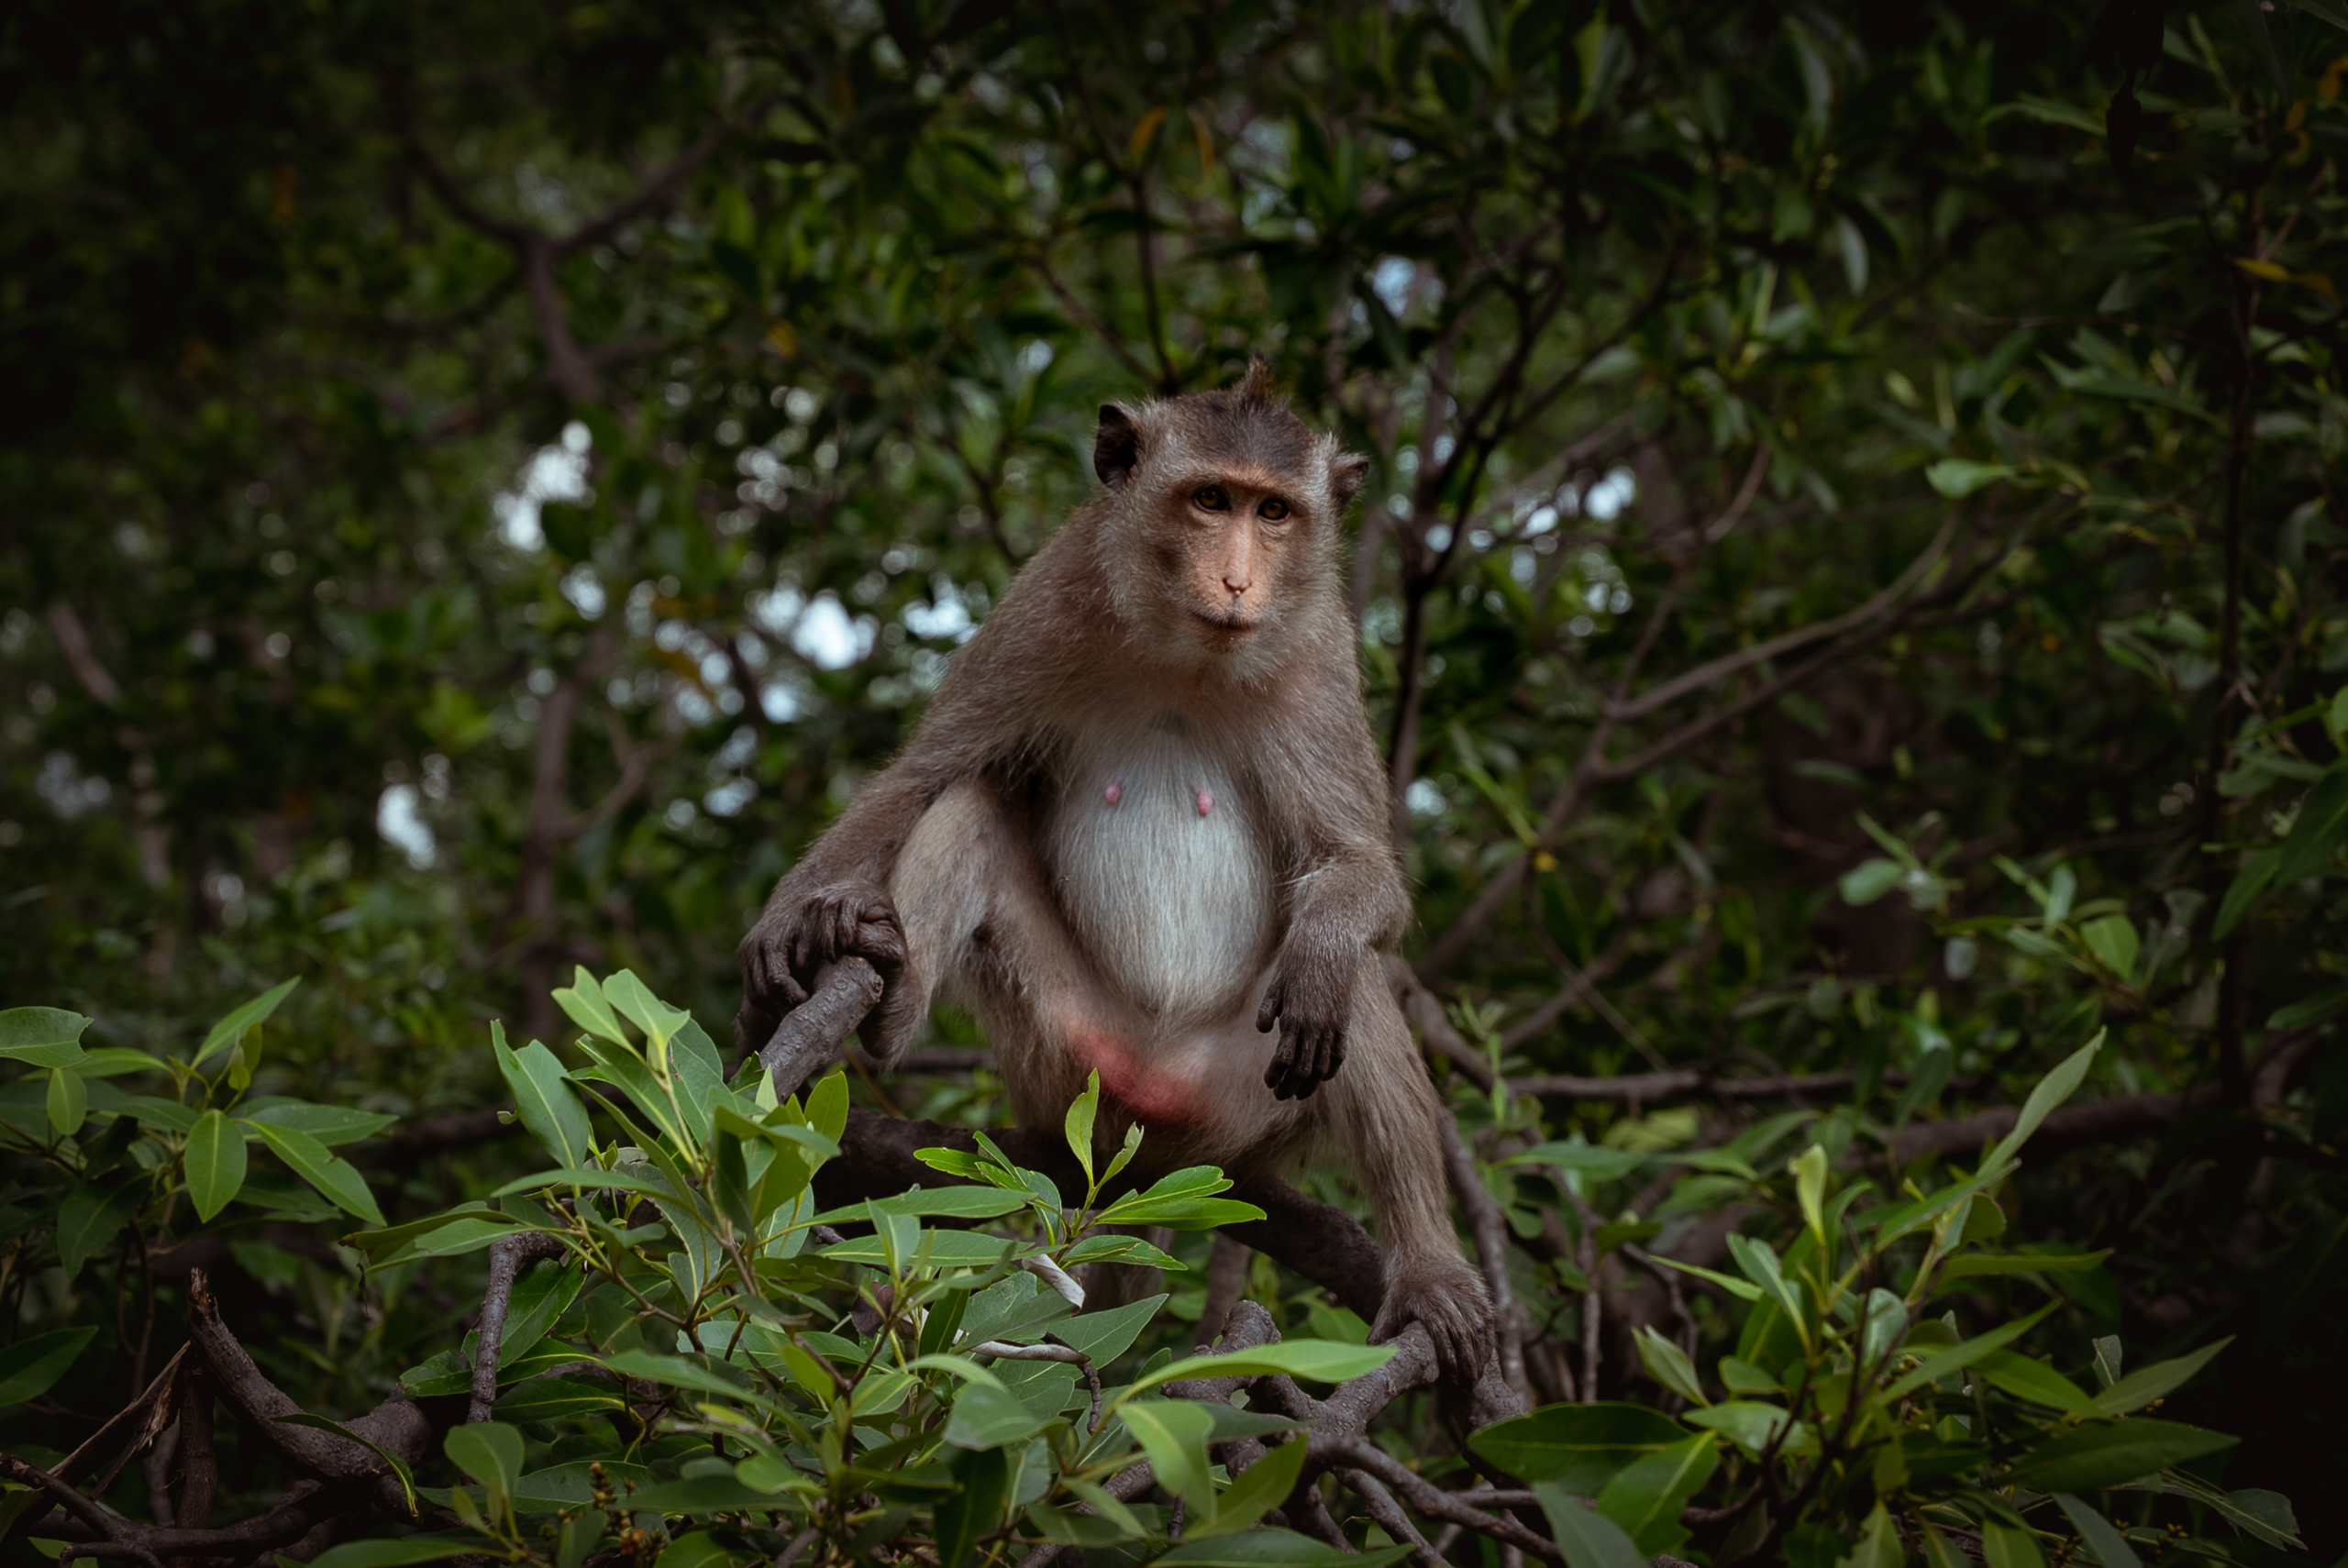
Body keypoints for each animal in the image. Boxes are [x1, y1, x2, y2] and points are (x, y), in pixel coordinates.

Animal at [736, 362, 1492, 1378]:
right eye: (1210, 500)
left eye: (1274, 512)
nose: (1237, 578)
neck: (1188, 653)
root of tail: (1150, 1127)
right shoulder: (1049, 598)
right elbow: (924, 774)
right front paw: (797, 915)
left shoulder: (1323, 658)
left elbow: (1357, 869)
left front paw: (1328, 945)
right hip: (1059, 1062)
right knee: (972, 809)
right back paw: (885, 990)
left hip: (1243, 1108)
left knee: (1348, 989)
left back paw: (1428, 1269)